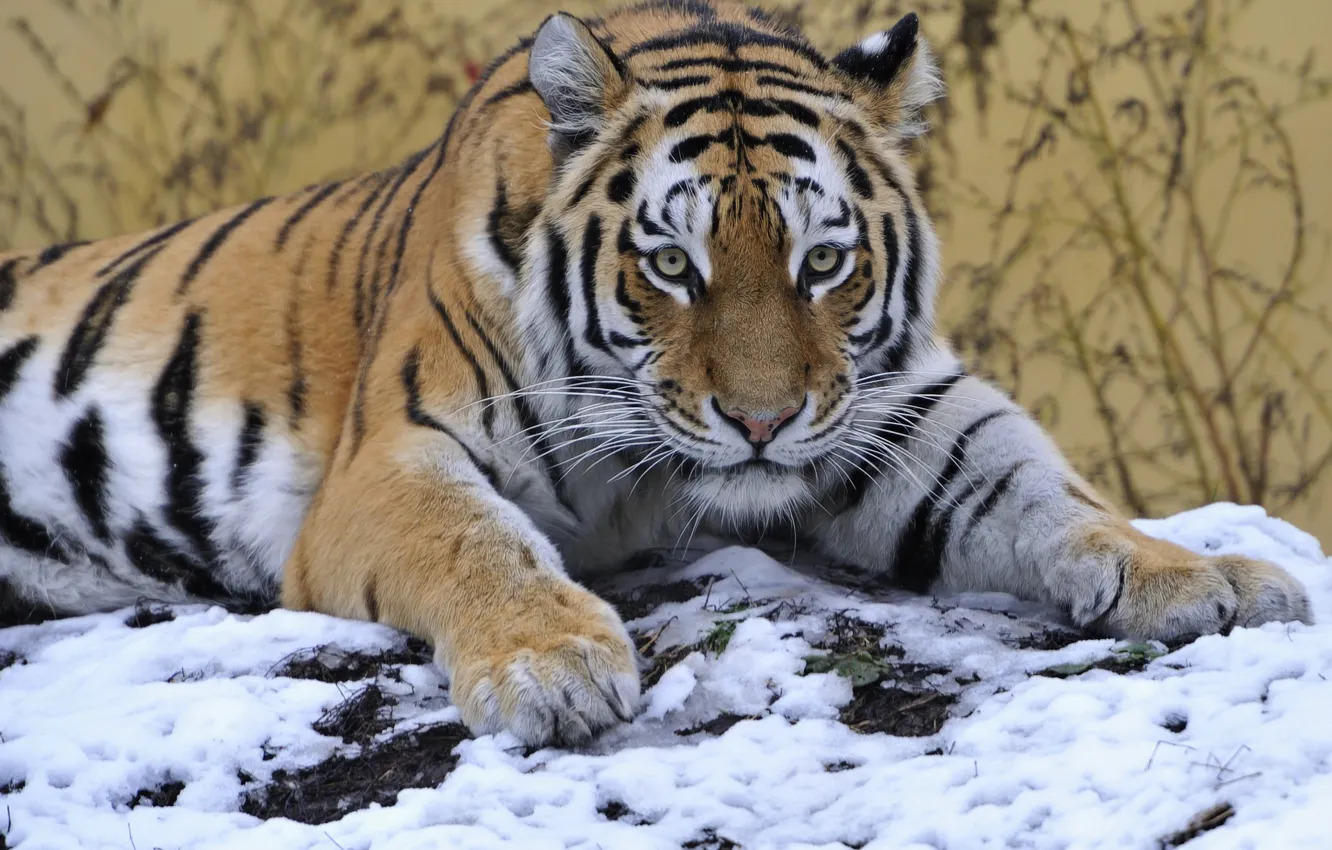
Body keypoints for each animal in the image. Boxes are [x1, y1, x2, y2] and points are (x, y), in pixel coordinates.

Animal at [0, 0, 1312, 747]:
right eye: (672, 264)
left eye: (823, 259)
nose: (762, 422)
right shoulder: (394, 457)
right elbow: (473, 542)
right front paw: (552, 667)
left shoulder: (901, 410)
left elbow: (1045, 489)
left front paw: (1201, 572)